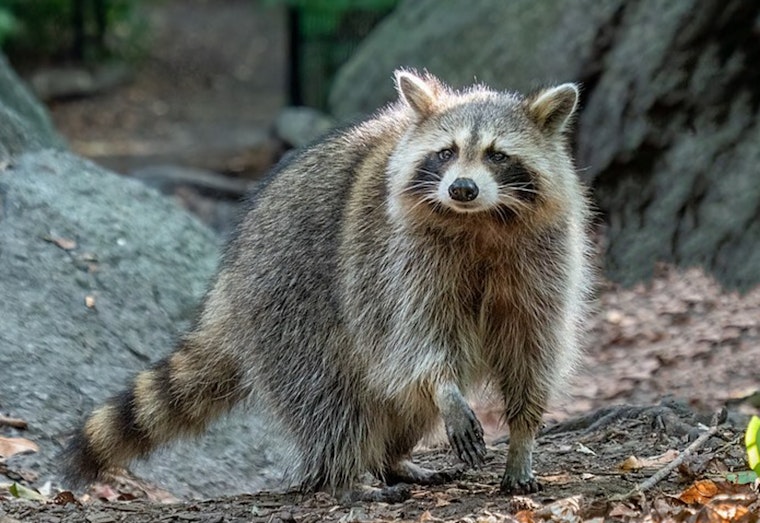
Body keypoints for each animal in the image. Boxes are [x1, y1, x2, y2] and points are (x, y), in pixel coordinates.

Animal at [63, 69, 592, 498]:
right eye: (446, 153)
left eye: (497, 155)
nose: (462, 188)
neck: (480, 220)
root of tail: (229, 284)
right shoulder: (397, 259)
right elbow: (418, 337)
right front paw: (446, 389)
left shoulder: (543, 259)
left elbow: (532, 346)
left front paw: (523, 436)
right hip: (288, 301)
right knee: (330, 395)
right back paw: (344, 475)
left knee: (398, 401)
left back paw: (392, 459)